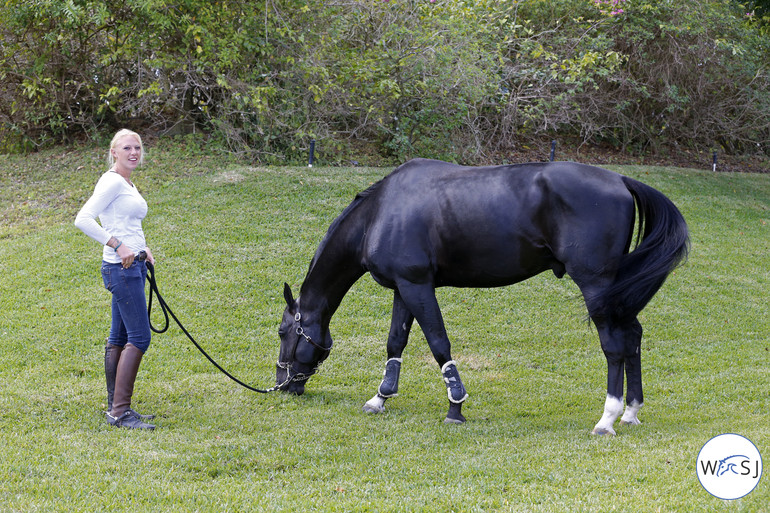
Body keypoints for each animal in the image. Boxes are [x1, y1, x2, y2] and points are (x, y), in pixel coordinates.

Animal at [272, 158, 688, 434]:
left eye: (282, 332)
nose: (283, 385)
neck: (380, 212)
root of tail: (620, 179)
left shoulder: (418, 287)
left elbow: (438, 343)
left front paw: (455, 407)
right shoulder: (404, 289)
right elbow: (395, 343)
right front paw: (380, 398)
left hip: (597, 288)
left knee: (614, 347)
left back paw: (608, 418)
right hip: (616, 294)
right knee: (633, 337)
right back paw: (631, 411)